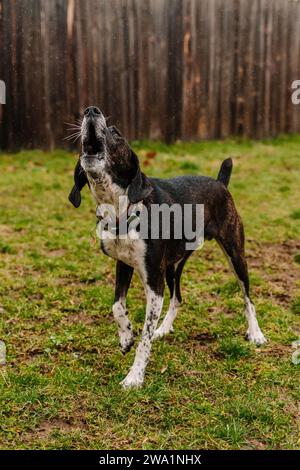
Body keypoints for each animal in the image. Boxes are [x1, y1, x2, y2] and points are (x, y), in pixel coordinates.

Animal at [68, 106, 268, 390]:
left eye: (116, 132)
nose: (91, 110)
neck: (122, 211)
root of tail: (220, 182)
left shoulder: (154, 280)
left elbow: (145, 336)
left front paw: (135, 376)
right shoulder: (125, 265)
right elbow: (117, 306)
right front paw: (125, 337)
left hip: (235, 254)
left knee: (247, 297)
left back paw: (255, 333)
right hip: (174, 265)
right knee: (178, 297)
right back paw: (164, 327)